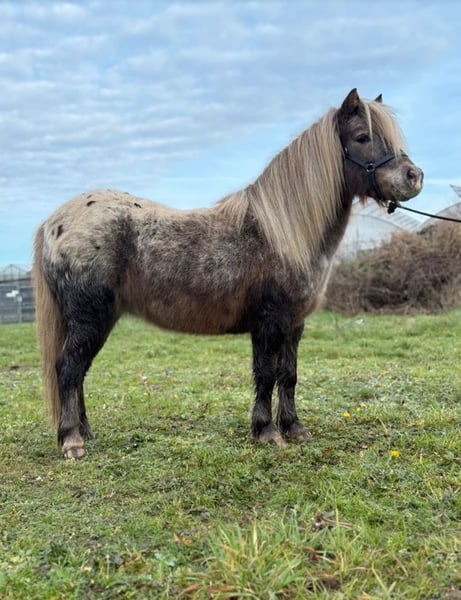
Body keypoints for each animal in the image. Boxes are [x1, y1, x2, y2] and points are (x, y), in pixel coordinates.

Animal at [33, 88, 423, 459]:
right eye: (361, 137)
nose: (414, 177)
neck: (280, 232)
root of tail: (54, 223)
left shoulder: (294, 324)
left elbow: (289, 374)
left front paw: (294, 428)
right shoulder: (269, 322)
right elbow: (265, 374)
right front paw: (267, 432)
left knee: (79, 372)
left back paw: (86, 433)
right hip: (90, 318)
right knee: (68, 369)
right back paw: (72, 441)